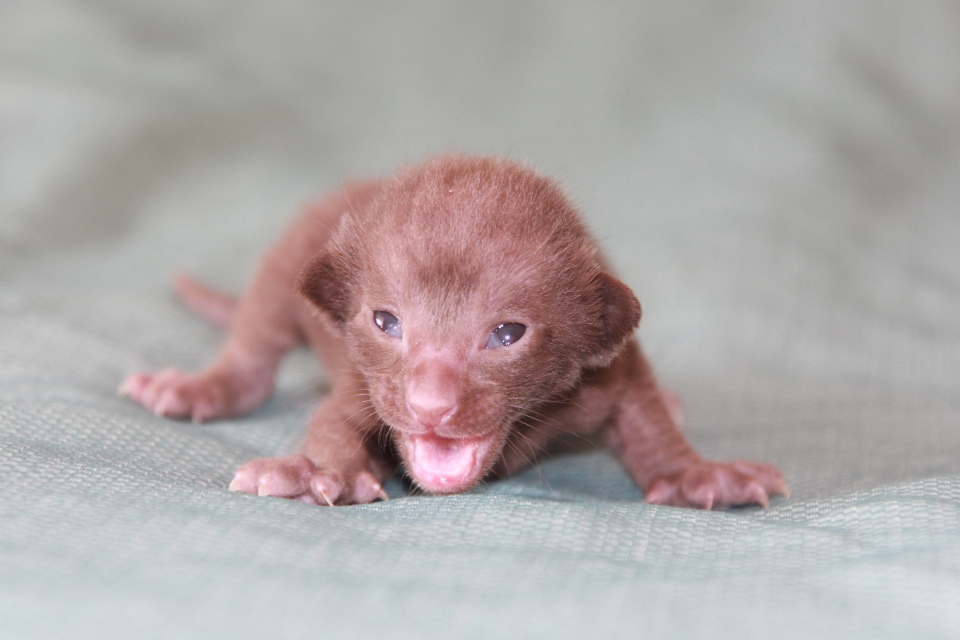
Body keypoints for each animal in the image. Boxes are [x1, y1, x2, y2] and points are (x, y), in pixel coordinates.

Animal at [118, 155, 788, 510]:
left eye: (507, 334)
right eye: (386, 321)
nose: (430, 405)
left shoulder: (610, 370)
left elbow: (643, 413)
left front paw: (696, 473)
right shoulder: (364, 384)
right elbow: (332, 422)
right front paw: (320, 473)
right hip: (286, 264)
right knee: (256, 343)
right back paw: (202, 388)